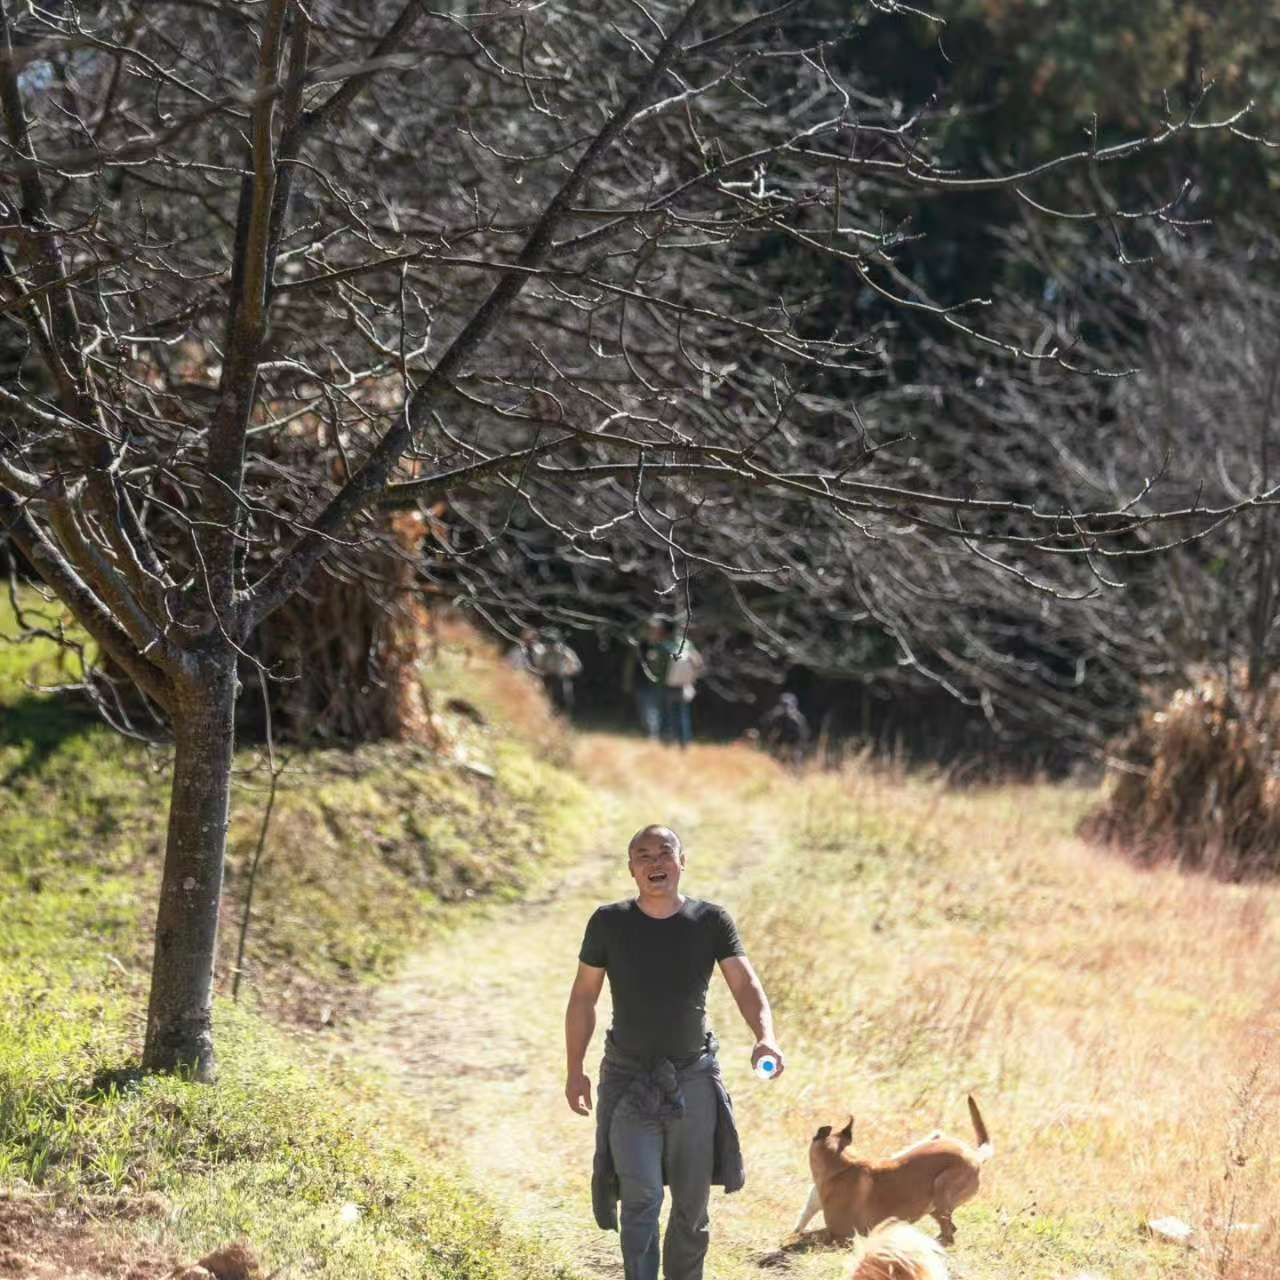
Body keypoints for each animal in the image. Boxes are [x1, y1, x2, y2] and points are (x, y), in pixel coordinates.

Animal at [793, 1095, 993, 1244]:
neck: (841, 1164)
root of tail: (975, 1155)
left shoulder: (841, 1233)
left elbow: (807, 1235)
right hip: (934, 1202)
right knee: (950, 1230)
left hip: (941, 1188)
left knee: (949, 1236)